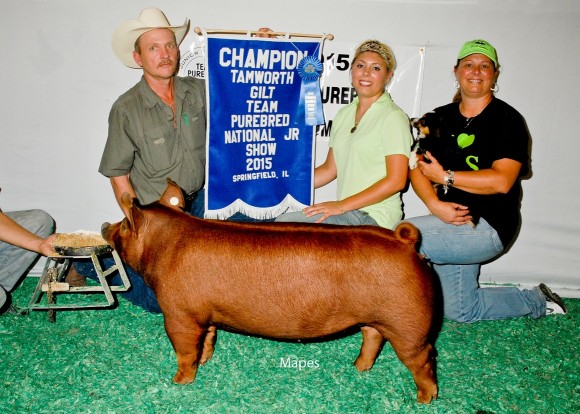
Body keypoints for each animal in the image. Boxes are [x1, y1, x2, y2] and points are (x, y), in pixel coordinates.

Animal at [102, 180, 440, 402]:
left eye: (124, 225)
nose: (105, 225)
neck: (165, 245)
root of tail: (404, 242)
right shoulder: (207, 313)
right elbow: (208, 337)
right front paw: (206, 360)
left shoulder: (179, 314)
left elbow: (184, 350)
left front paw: (180, 382)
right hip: (377, 318)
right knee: (372, 337)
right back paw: (358, 368)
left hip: (408, 324)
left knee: (423, 357)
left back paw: (425, 399)